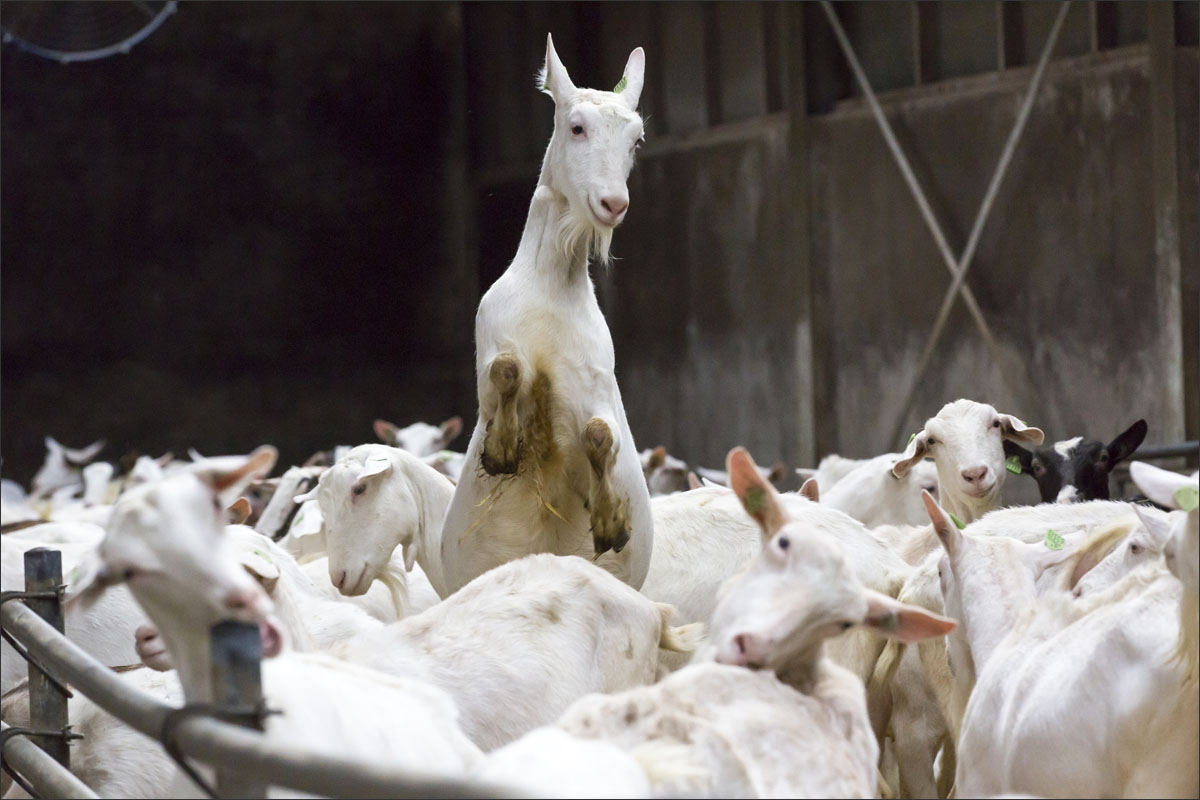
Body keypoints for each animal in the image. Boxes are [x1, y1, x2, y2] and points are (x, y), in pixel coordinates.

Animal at [441, 34, 652, 594]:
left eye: (636, 141)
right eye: (576, 127)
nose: (613, 204)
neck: (551, 294)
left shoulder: (596, 387)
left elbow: (600, 435)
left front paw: (610, 521)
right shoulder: (490, 351)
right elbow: (505, 370)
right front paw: (502, 448)